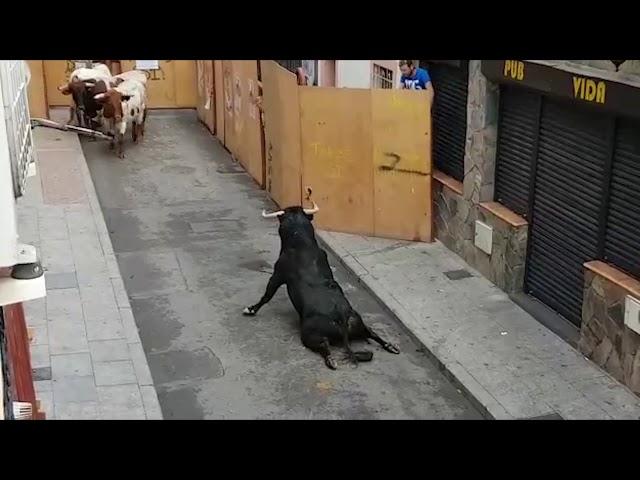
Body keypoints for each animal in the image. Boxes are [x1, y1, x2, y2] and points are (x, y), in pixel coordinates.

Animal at [245, 201, 400, 370]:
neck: (301, 243)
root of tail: (340, 316)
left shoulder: (277, 275)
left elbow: (267, 295)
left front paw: (251, 309)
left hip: (309, 335)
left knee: (324, 346)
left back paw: (331, 361)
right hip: (359, 323)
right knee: (371, 332)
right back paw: (390, 346)